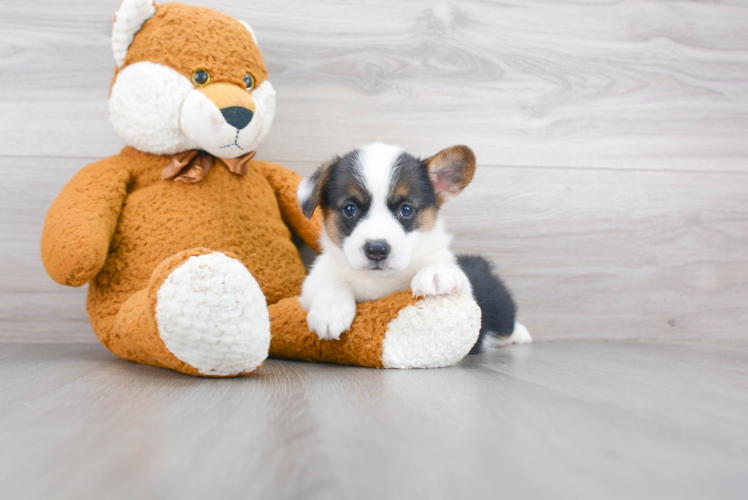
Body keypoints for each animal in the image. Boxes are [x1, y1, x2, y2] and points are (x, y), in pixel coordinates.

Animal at [296, 141, 528, 352]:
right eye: (350, 209)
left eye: (406, 209)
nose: (377, 250)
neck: (380, 281)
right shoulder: (313, 281)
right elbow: (330, 283)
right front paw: (329, 312)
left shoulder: (466, 297)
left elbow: (442, 265)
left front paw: (436, 274)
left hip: (500, 308)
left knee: (506, 325)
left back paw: (521, 334)